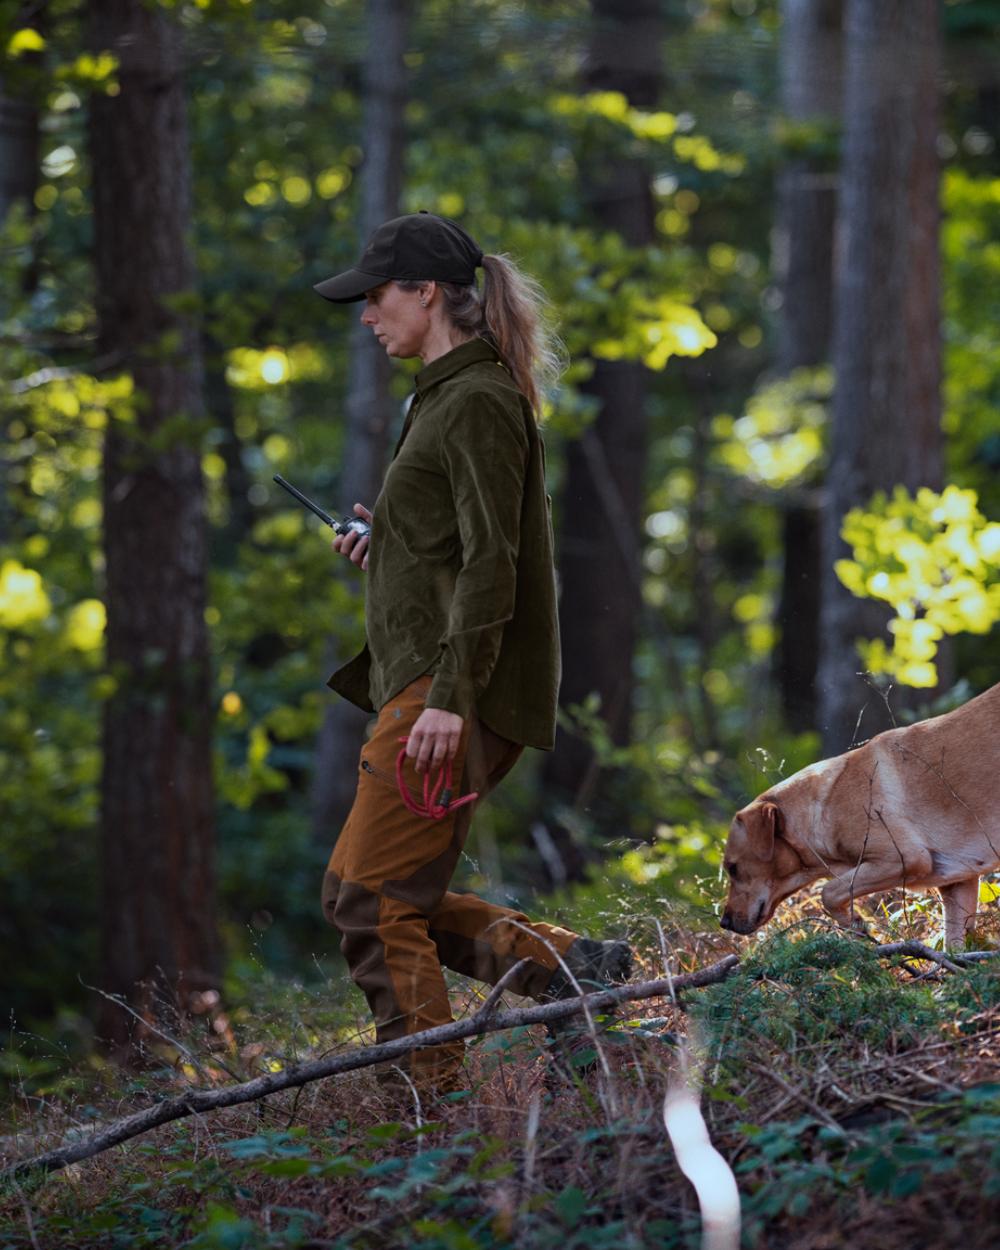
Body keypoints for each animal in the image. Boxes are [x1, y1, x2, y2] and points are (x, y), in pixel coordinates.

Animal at [720, 685, 1000, 945]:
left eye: (733, 868)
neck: (822, 809)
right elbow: (953, 946)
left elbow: (829, 892)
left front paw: (855, 922)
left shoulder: (903, 858)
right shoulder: (959, 882)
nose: (724, 923)